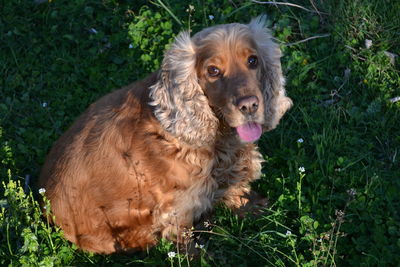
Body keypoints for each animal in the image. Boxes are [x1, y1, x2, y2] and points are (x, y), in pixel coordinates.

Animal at [39, 15, 292, 254]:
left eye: (253, 60)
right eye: (213, 71)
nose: (249, 105)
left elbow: (239, 191)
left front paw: (256, 206)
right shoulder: (177, 205)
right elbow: (183, 239)